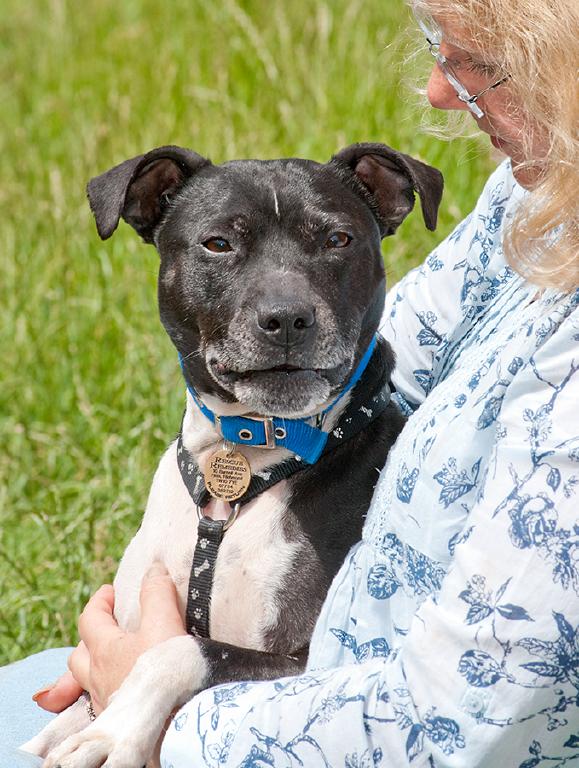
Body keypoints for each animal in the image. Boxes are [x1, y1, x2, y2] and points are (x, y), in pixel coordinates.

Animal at [26, 142, 444, 768]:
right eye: (218, 243)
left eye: (338, 239)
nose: (288, 317)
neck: (245, 463)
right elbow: (70, 714)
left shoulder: (305, 664)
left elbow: (179, 651)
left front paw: (114, 732)